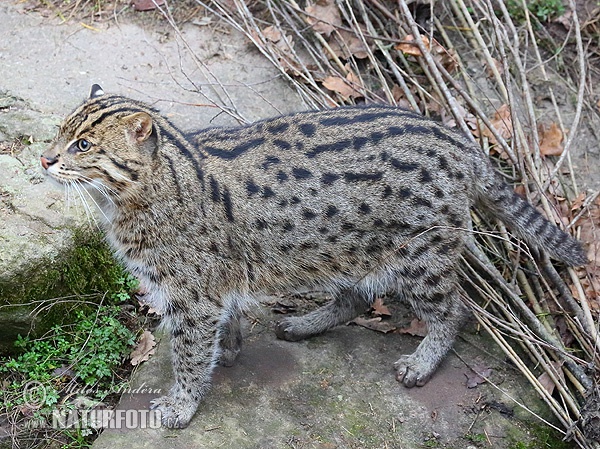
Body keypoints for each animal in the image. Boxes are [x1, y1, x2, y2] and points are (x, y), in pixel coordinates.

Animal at [41, 85, 584, 428]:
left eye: (83, 144)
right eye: (58, 133)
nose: (44, 159)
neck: (132, 199)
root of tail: (461, 140)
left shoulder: (193, 298)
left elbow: (190, 355)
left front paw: (181, 405)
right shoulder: (214, 288)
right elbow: (225, 325)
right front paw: (229, 351)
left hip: (419, 256)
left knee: (456, 309)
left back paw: (421, 362)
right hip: (345, 247)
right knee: (357, 299)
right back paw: (304, 323)